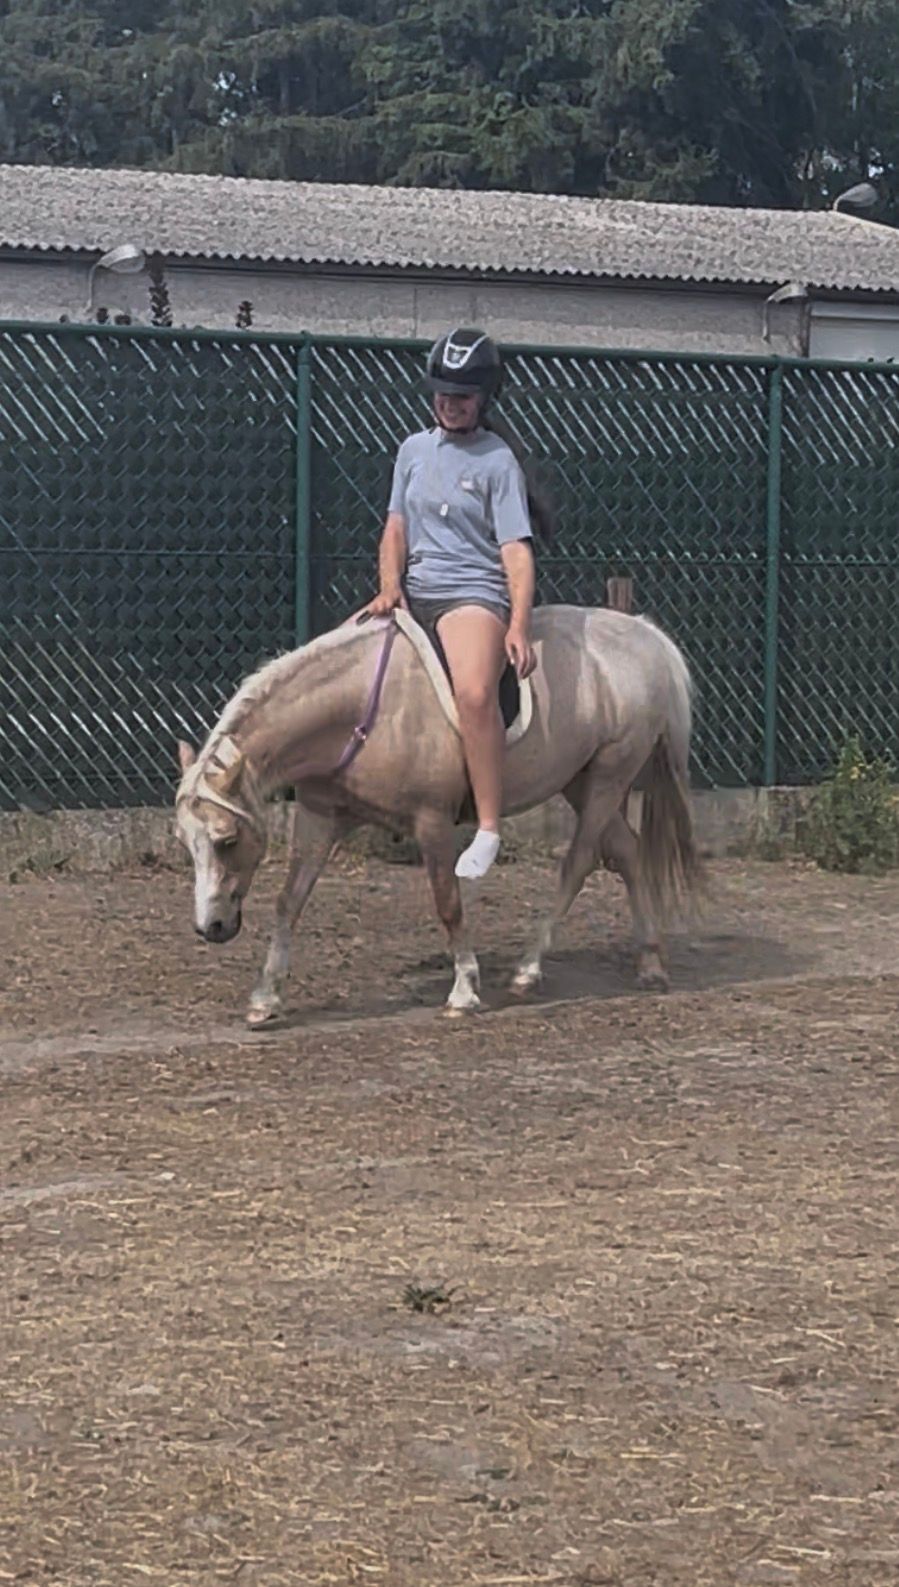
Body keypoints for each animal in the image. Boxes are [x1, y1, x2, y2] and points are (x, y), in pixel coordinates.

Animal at [174, 605, 702, 1024]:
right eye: (187, 844)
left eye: (226, 840)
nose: (210, 928)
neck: (358, 708)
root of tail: (645, 636)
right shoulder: (319, 817)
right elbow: (290, 902)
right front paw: (265, 998)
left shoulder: (431, 822)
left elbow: (448, 902)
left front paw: (464, 990)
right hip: (582, 780)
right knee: (627, 851)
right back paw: (650, 963)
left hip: (611, 774)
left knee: (579, 862)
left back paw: (528, 971)